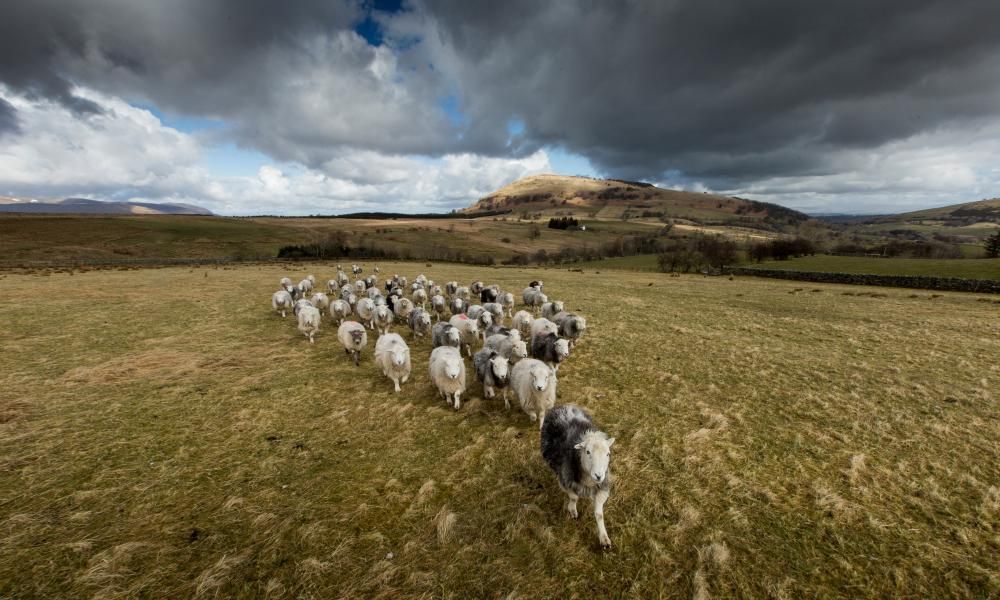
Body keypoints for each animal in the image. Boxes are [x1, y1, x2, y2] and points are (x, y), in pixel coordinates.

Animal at [544, 404, 612, 548]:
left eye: (608, 454)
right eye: (587, 452)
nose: (598, 475)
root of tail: (564, 405)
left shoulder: (603, 487)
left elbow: (599, 514)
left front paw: (604, 538)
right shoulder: (565, 481)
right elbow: (574, 497)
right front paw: (572, 510)